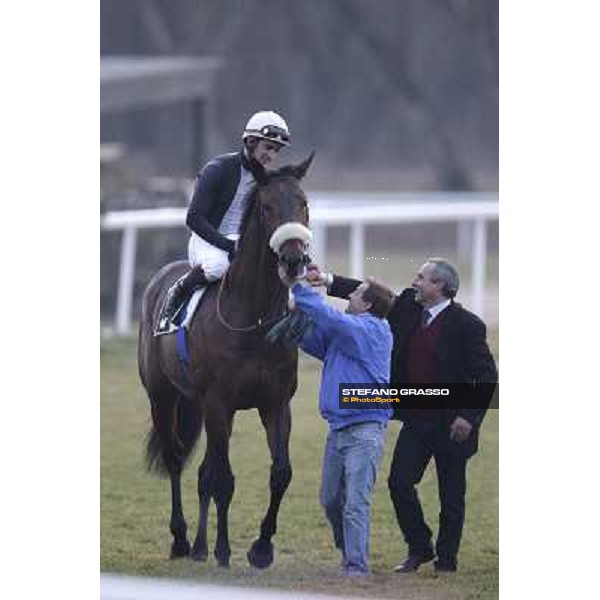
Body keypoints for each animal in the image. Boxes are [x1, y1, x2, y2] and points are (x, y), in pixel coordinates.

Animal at [137, 154, 314, 568]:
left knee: (202, 469)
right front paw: (220, 548)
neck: (254, 320)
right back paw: (183, 540)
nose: (294, 259)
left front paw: (261, 547)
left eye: (303, 203)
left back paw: (197, 545)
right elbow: (223, 479)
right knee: (175, 459)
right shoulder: (220, 403)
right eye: (267, 207)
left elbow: (280, 473)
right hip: (162, 397)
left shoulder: (275, 403)